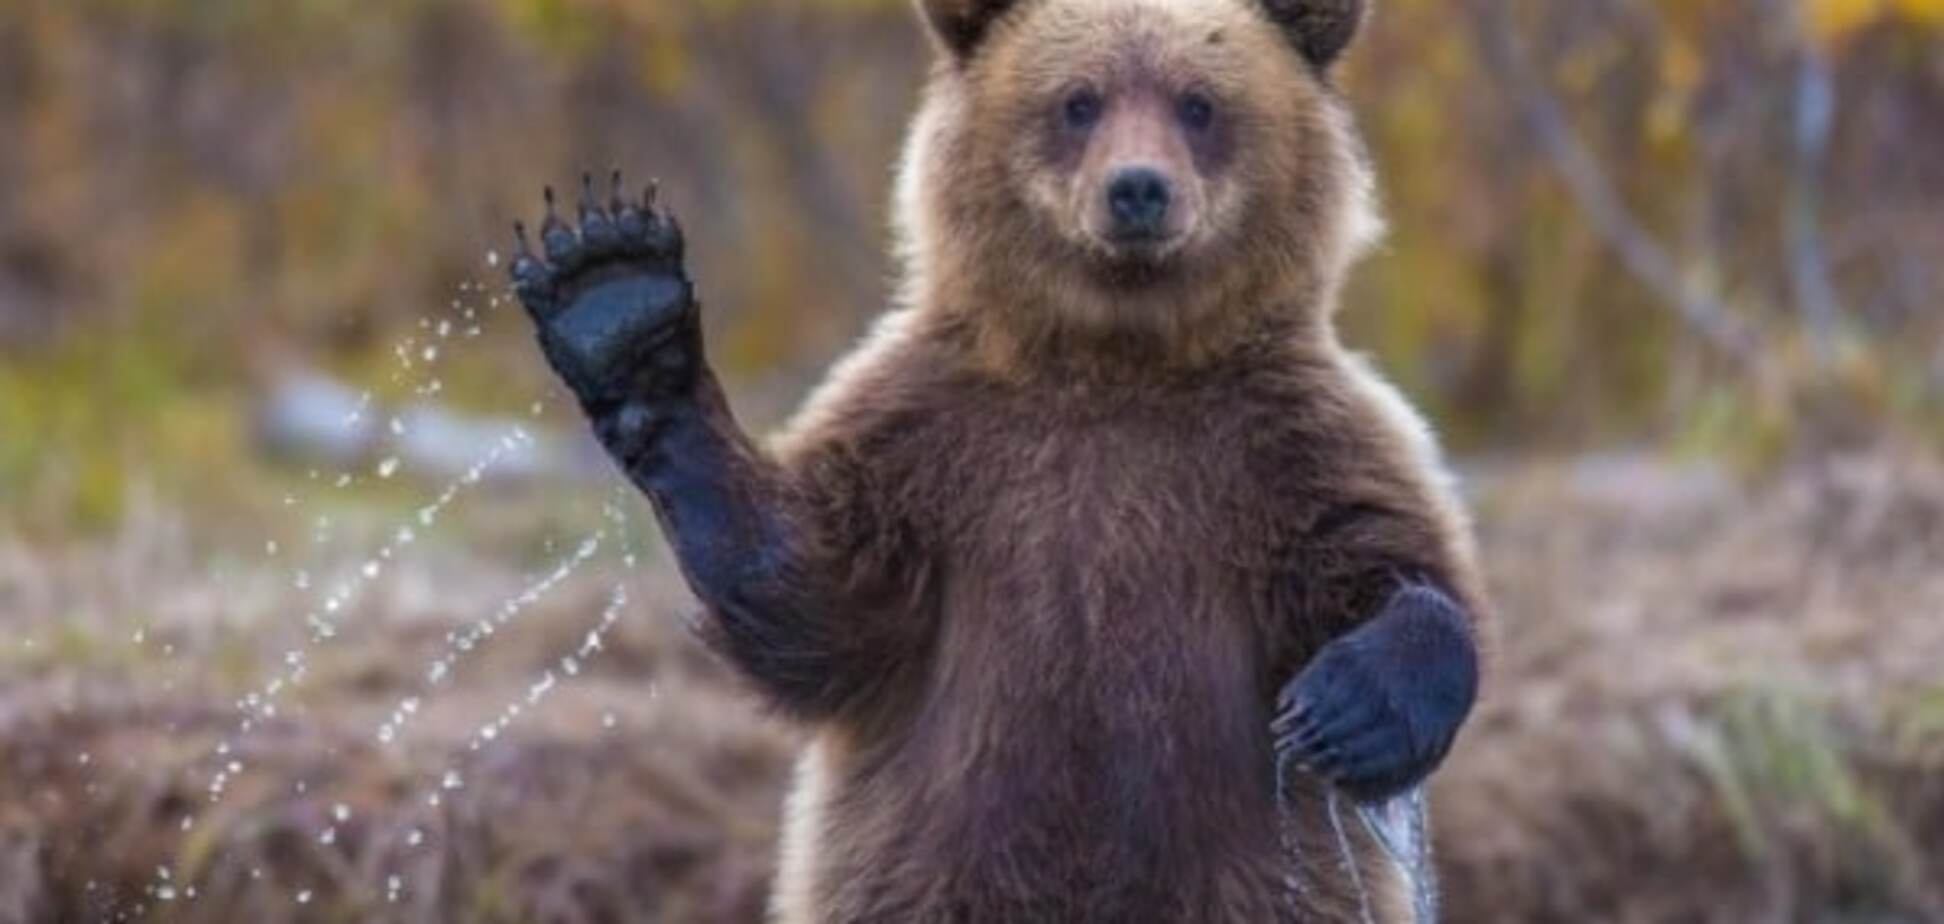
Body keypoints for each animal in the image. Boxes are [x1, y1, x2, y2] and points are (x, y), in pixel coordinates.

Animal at [507, 0, 1486, 920]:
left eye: (1199, 102)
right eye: (1078, 100)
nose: (1138, 190)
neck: (1115, 358)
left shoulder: (1288, 443)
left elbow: (1393, 562)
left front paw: (1348, 709)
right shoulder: (930, 439)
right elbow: (813, 594)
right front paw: (617, 299)